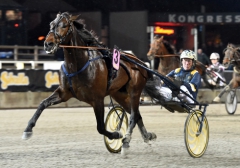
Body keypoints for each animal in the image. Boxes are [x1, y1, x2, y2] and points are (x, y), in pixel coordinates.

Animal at [21, 11, 157, 156]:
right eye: (51, 24)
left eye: (64, 25)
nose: (48, 44)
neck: (78, 65)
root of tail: (140, 63)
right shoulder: (64, 93)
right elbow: (42, 104)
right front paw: (28, 129)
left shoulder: (97, 99)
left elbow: (100, 127)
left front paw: (116, 135)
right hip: (119, 94)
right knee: (136, 115)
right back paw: (147, 136)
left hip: (134, 92)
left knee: (133, 115)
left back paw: (126, 142)